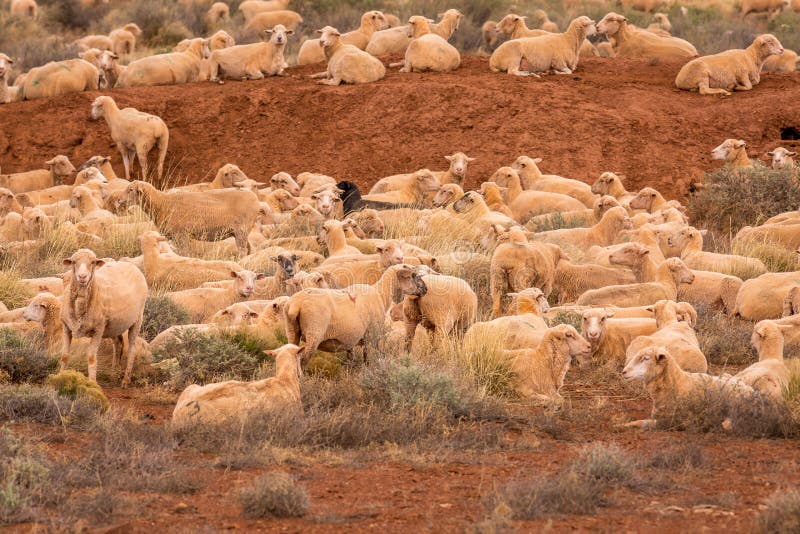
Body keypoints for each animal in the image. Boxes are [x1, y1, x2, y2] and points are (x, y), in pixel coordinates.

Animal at [60, 249, 147, 386]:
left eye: (93, 262)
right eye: (73, 262)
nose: (82, 277)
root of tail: (131, 265)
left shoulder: (98, 330)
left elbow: (91, 357)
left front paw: (92, 383)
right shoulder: (66, 327)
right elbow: (64, 355)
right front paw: (59, 376)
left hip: (137, 319)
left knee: (132, 349)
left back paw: (125, 380)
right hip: (115, 326)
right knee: (118, 344)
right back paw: (114, 373)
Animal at [125, 181, 258, 257]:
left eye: (130, 190)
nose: (120, 200)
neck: (163, 203)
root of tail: (255, 199)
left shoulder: (181, 235)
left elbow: (184, 253)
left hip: (241, 231)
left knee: (242, 251)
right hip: (240, 232)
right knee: (249, 249)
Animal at [621, 346, 755, 429]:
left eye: (646, 358)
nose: (624, 372)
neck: (676, 384)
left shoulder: (668, 422)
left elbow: (640, 423)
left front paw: (621, 425)